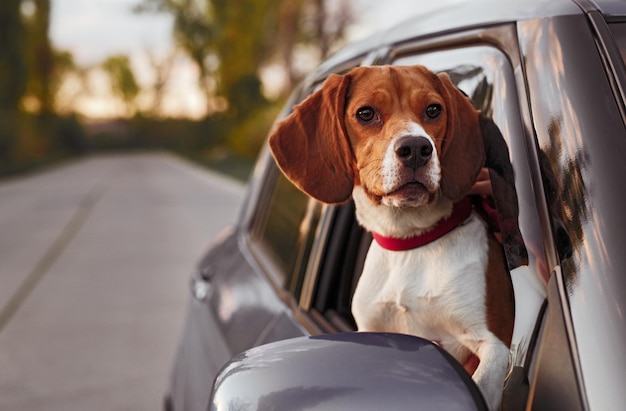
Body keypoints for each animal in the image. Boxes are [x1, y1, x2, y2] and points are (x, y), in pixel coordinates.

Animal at [268, 66, 512, 410]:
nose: (416, 149)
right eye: (366, 113)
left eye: (433, 110)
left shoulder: (493, 343)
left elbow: (482, 384)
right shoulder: (373, 332)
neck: (411, 240)